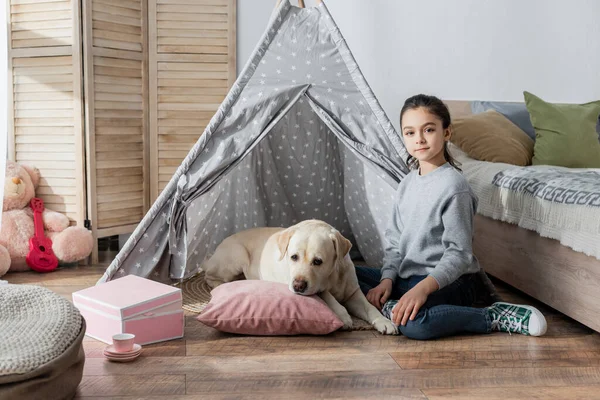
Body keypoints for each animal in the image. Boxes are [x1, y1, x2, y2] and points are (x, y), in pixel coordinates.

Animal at [205, 219, 398, 334]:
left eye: (318, 261)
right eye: (293, 257)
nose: (298, 286)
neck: (332, 276)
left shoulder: (354, 293)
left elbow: (370, 307)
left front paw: (384, 321)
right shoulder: (317, 288)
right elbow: (327, 295)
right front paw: (343, 316)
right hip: (238, 255)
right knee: (210, 277)